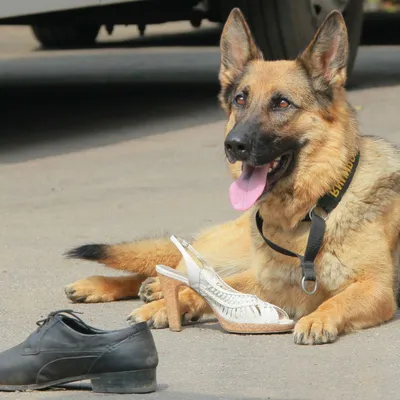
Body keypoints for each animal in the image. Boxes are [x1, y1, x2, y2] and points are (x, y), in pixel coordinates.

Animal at [64, 10, 398, 346]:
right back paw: (120, 287)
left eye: (282, 103)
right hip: (229, 256)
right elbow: (207, 291)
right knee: (178, 270)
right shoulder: (271, 283)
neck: (314, 208)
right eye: (240, 100)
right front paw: (167, 306)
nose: (233, 145)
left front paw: (318, 318)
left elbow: (338, 299)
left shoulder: (376, 288)